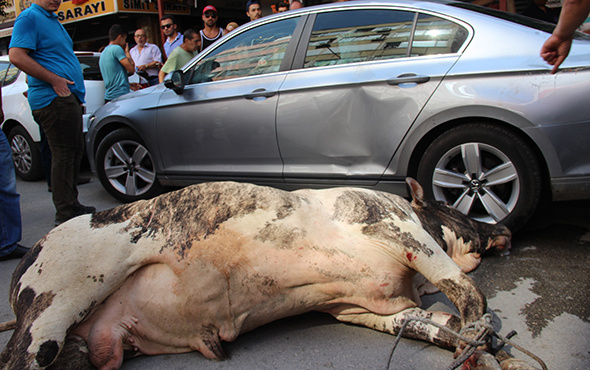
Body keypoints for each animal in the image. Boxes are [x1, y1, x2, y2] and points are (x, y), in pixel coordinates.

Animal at [1, 178, 512, 368]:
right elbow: (466, 288)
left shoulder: (373, 310)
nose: (502, 226)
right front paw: (479, 332)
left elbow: (440, 325)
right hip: (50, 315)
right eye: (460, 210)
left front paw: (476, 345)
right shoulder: (394, 226)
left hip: (79, 344)